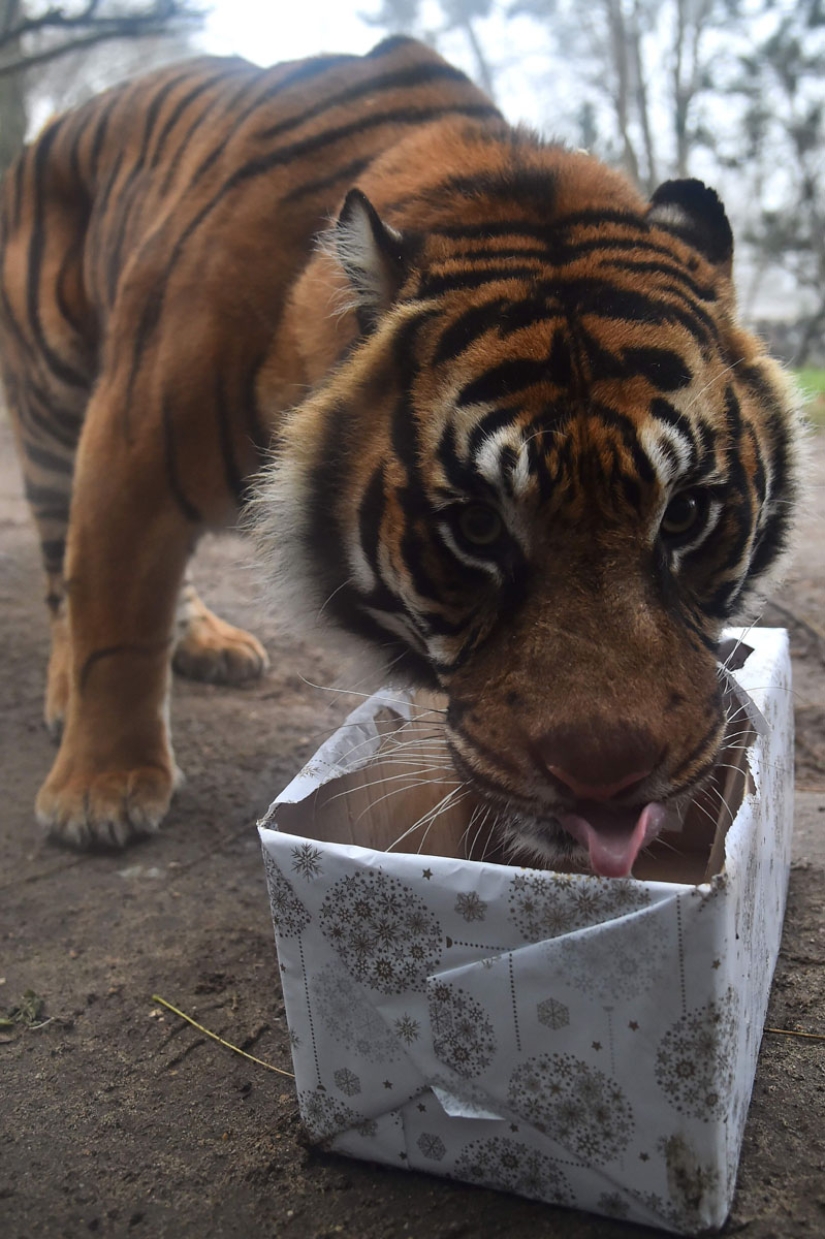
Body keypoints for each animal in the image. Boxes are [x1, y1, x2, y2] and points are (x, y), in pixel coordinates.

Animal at [0, 35, 803, 873]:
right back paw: (68, 703)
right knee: (62, 577)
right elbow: (117, 621)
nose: (606, 778)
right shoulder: (129, 449)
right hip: (52, 407)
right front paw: (100, 790)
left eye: (684, 514)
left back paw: (209, 643)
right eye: (478, 527)